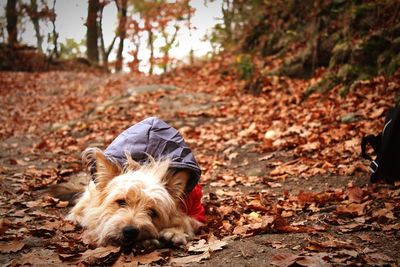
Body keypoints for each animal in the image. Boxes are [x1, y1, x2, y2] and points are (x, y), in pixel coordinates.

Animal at [65, 118, 206, 248]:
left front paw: (175, 232)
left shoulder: (195, 208)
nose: (130, 231)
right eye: (121, 202)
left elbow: (188, 220)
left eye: (153, 212)